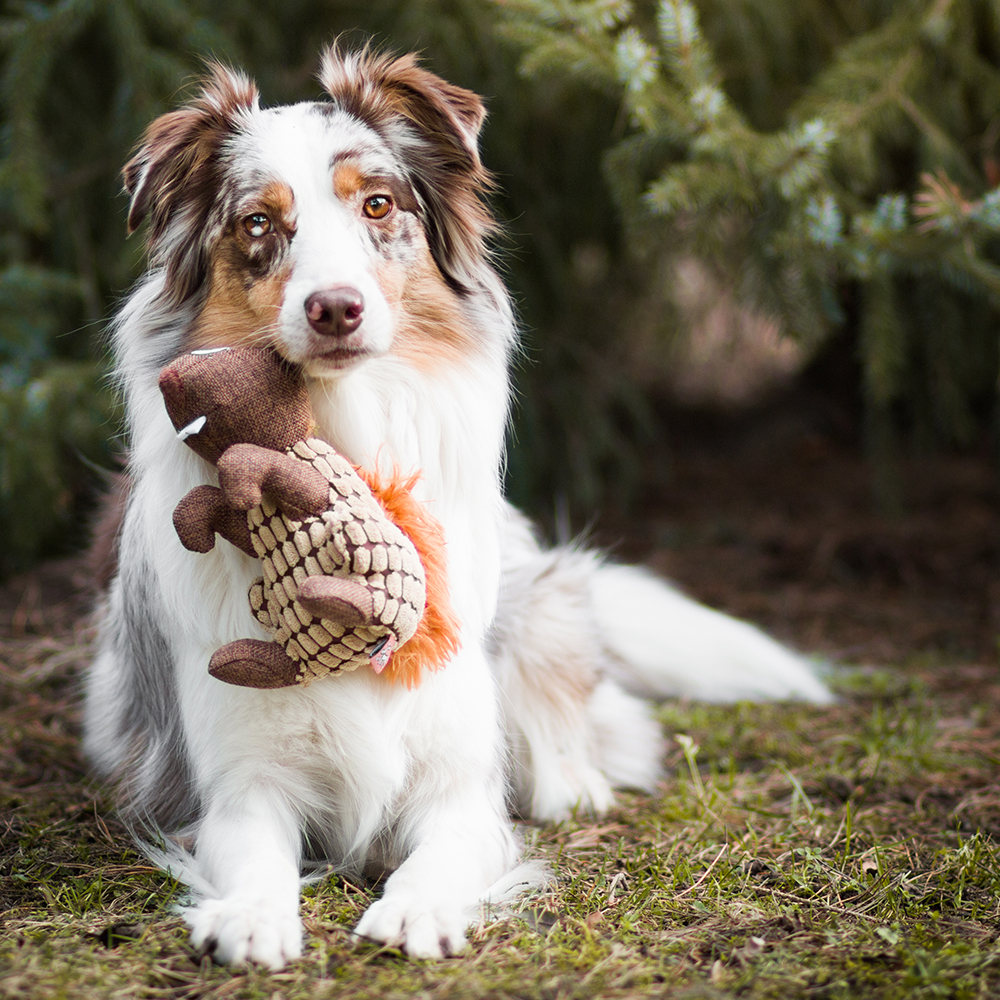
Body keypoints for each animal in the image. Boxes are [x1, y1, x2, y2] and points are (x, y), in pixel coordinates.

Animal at [84, 47, 828, 968]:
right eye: (259, 223)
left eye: (377, 204)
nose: (336, 307)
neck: (345, 431)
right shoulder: (236, 784)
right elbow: (255, 848)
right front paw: (253, 916)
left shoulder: (459, 785)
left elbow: (444, 848)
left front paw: (418, 908)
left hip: (539, 598)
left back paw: (573, 781)